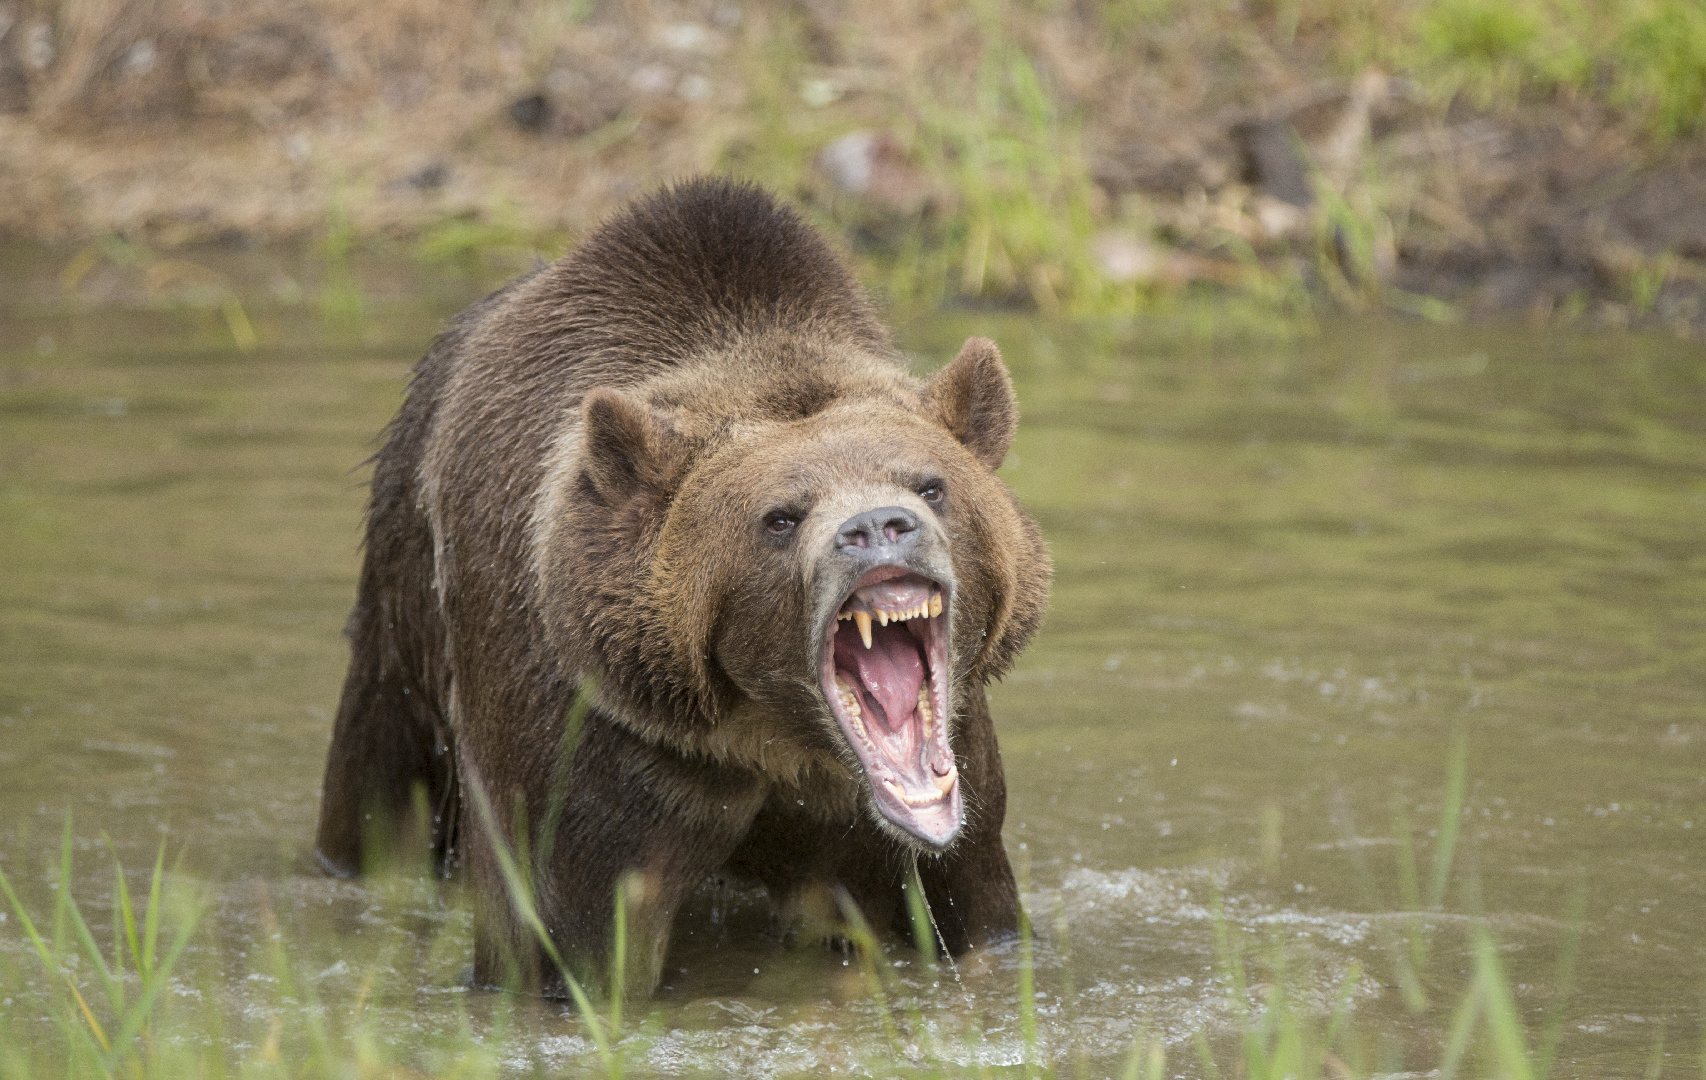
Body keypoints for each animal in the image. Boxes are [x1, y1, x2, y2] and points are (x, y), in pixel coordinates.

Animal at [313, 176, 1044, 996]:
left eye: (930, 484)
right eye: (781, 516)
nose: (878, 526)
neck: (775, 735)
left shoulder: (943, 790)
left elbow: (973, 906)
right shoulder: (600, 748)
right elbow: (565, 937)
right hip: (406, 607)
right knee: (381, 784)